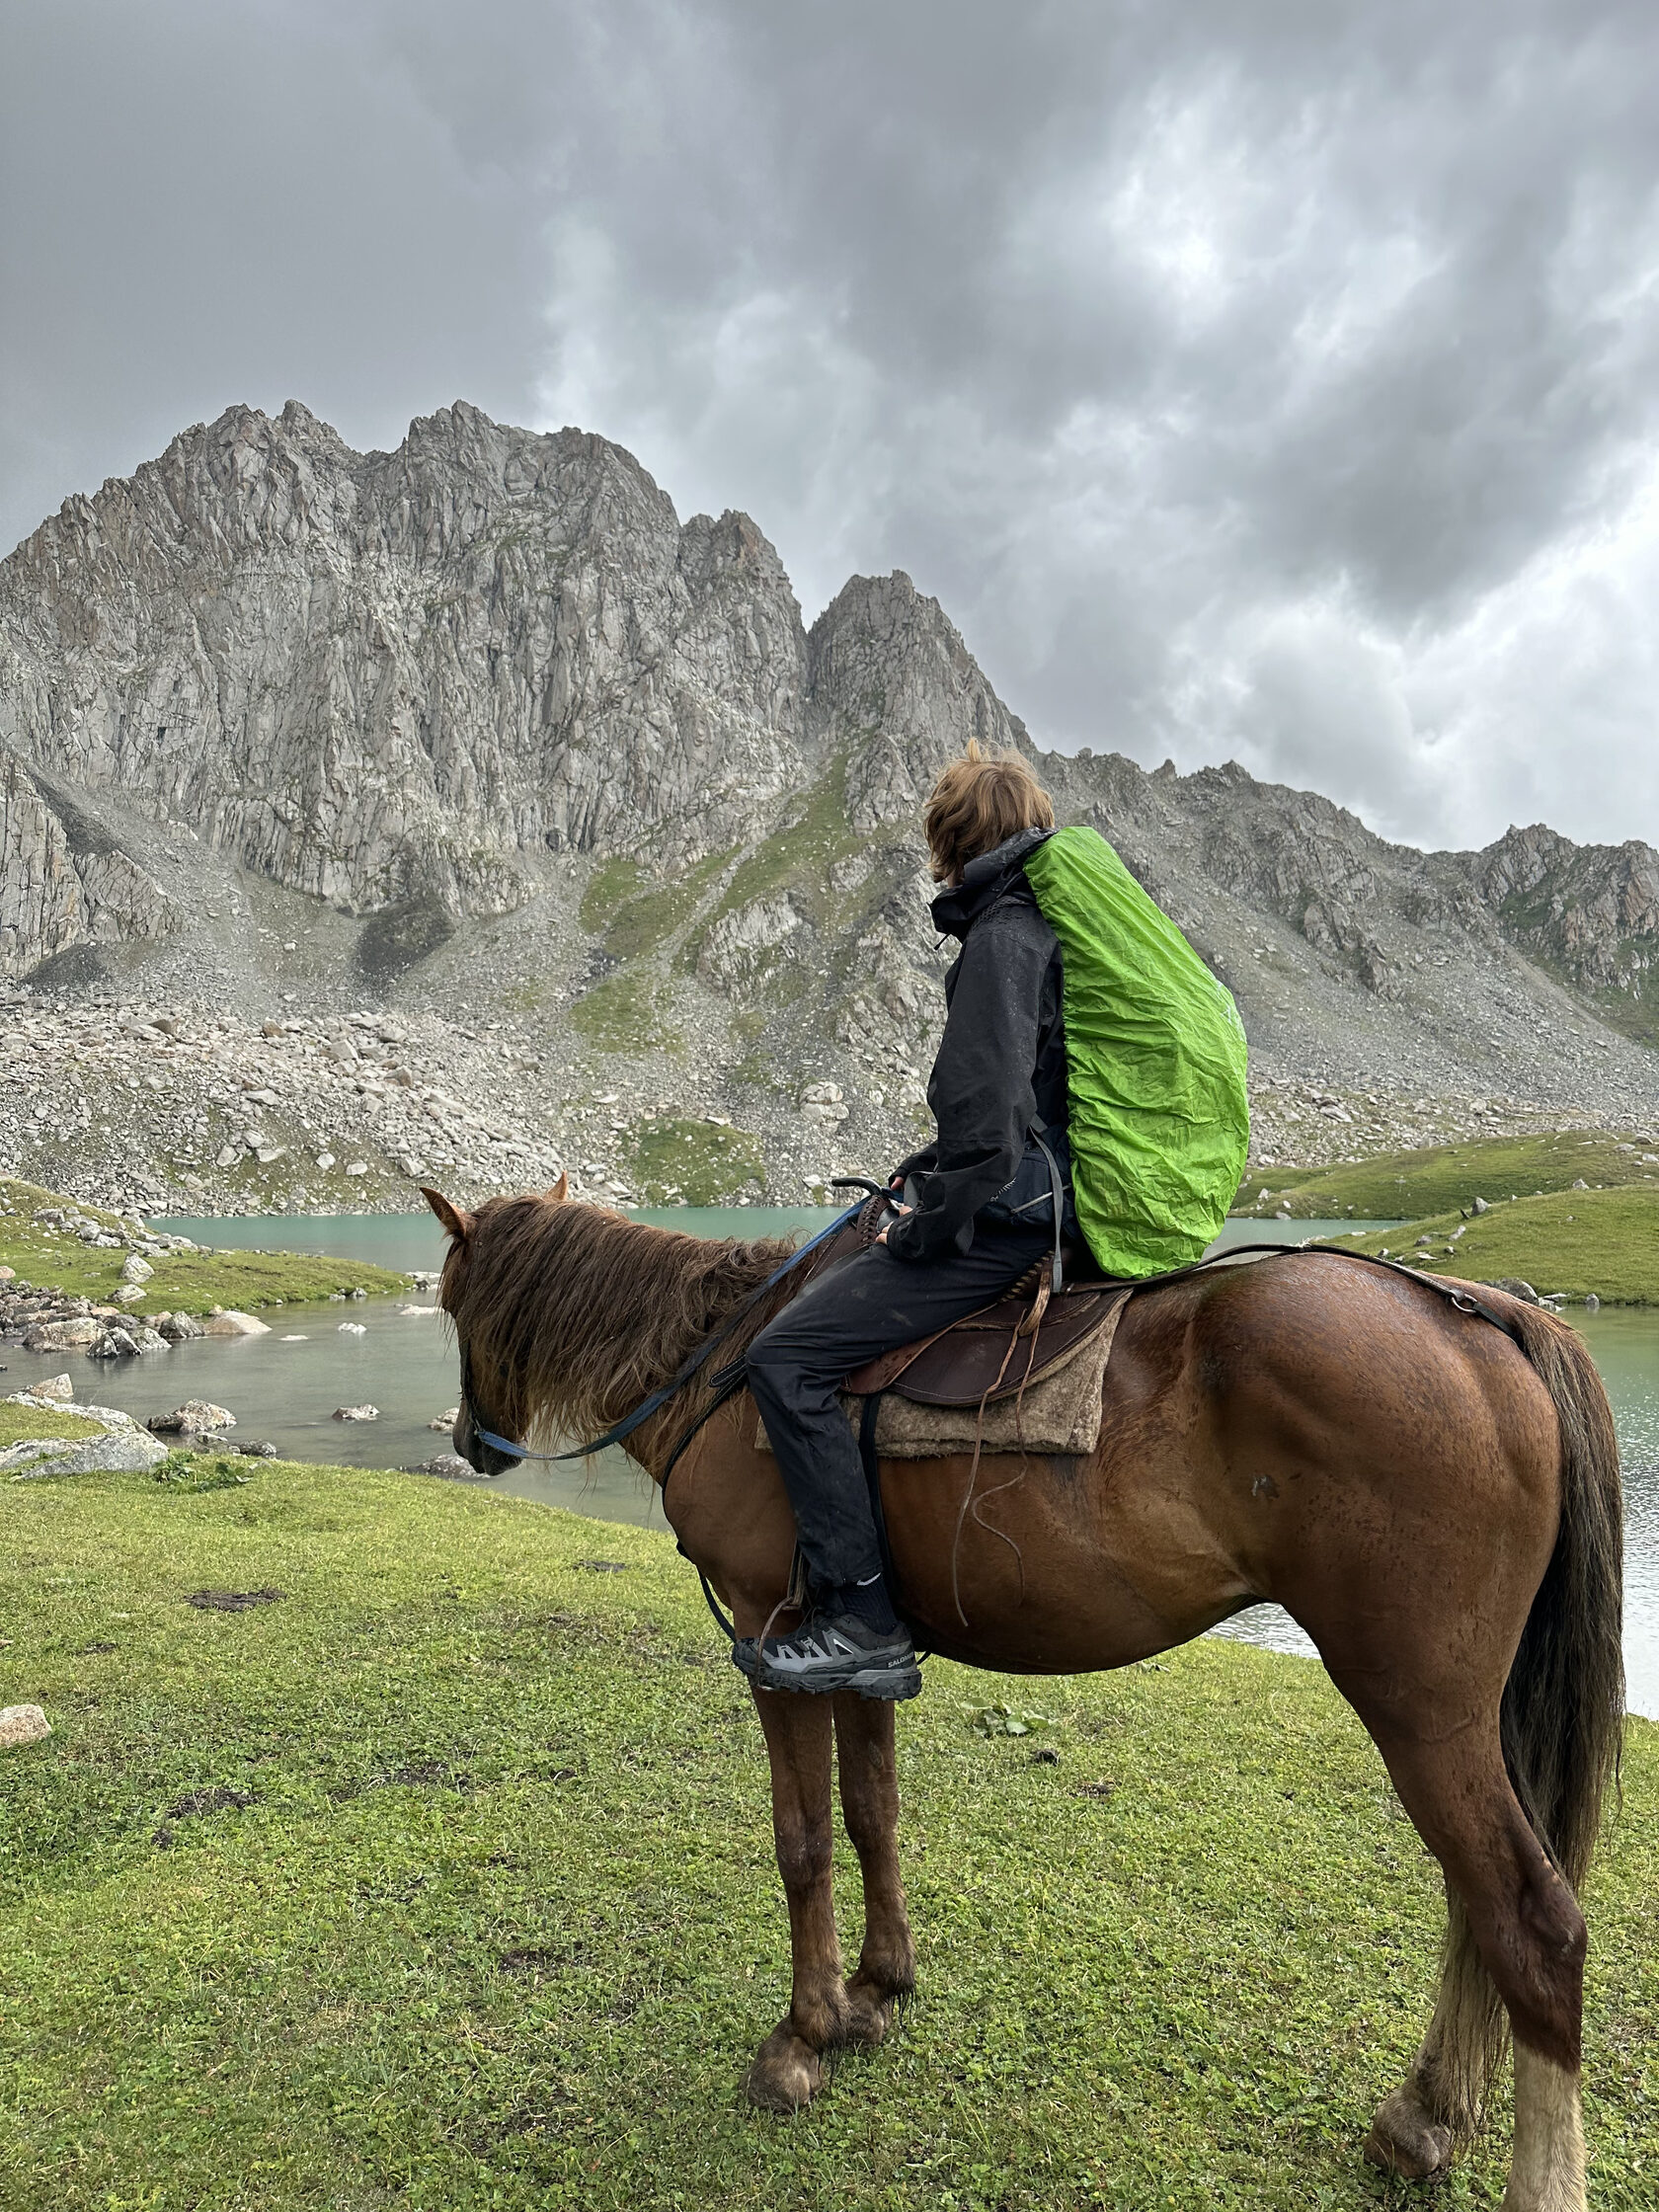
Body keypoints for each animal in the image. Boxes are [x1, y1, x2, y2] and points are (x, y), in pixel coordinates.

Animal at [423, 1178, 1623, 2212]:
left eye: (448, 1303)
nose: (473, 1443)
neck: (720, 1363)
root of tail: (1486, 1317)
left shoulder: (771, 1635)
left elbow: (802, 1840)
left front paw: (802, 2038)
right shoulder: (858, 1650)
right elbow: (872, 1812)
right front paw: (878, 1989)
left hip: (1423, 1713)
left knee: (1533, 1924)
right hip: (1465, 1721)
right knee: (1479, 1908)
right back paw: (1424, 2116)